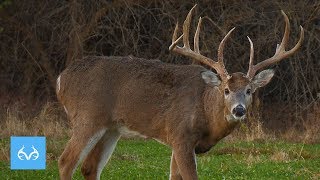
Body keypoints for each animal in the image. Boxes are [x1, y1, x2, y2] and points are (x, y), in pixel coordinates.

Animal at [56, 4, 304, 180]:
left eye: (250, 90)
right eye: (226, 90)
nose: (239, 110)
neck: (206, 111)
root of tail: (61, 80)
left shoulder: (178, 142)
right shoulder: (180, 134)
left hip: (111, 128)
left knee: (89, 167)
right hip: (88, 116)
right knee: (66, 161)